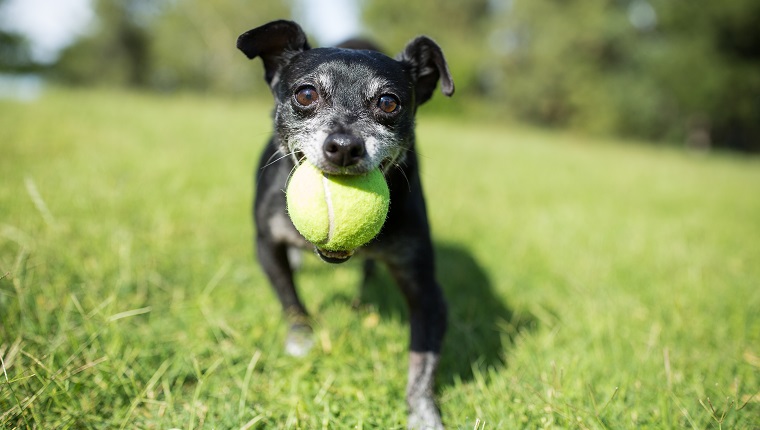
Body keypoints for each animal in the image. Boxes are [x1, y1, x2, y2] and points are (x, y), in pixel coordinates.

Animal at [236, 21, 452, 430]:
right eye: (305, 94)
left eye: (389, 102)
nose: (344, 145)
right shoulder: (266, 244)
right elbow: (290, 299)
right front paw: (301, 338)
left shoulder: (425, 290)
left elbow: (423, 364)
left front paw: (423, 413)